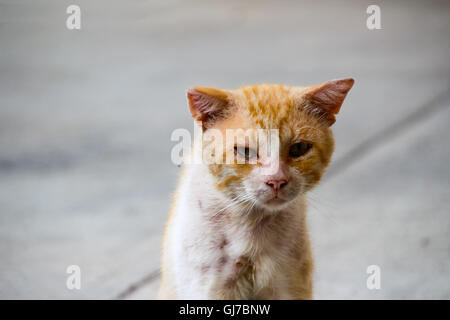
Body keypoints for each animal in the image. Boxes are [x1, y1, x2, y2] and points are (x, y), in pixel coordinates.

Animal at [160, 78, 354, 300]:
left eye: (299, 149)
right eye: (246, 152)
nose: (276, 180)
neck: (251, 224)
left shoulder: (290, 285)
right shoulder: (206, 287)